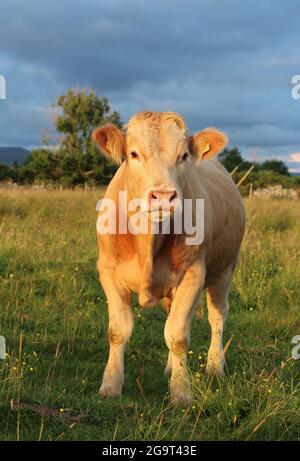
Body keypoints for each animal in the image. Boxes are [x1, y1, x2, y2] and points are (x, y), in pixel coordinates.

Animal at [92, 110, 245, 402]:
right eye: (133, 153)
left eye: (183, 155)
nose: (163, 195)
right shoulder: (108, 270)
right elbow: (118, 330)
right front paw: (110, 385)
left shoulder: (194, 273)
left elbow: (177, 336)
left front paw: (182, 392)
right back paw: (171, 367)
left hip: (225, 270)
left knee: (217, 316)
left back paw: (214, 365)